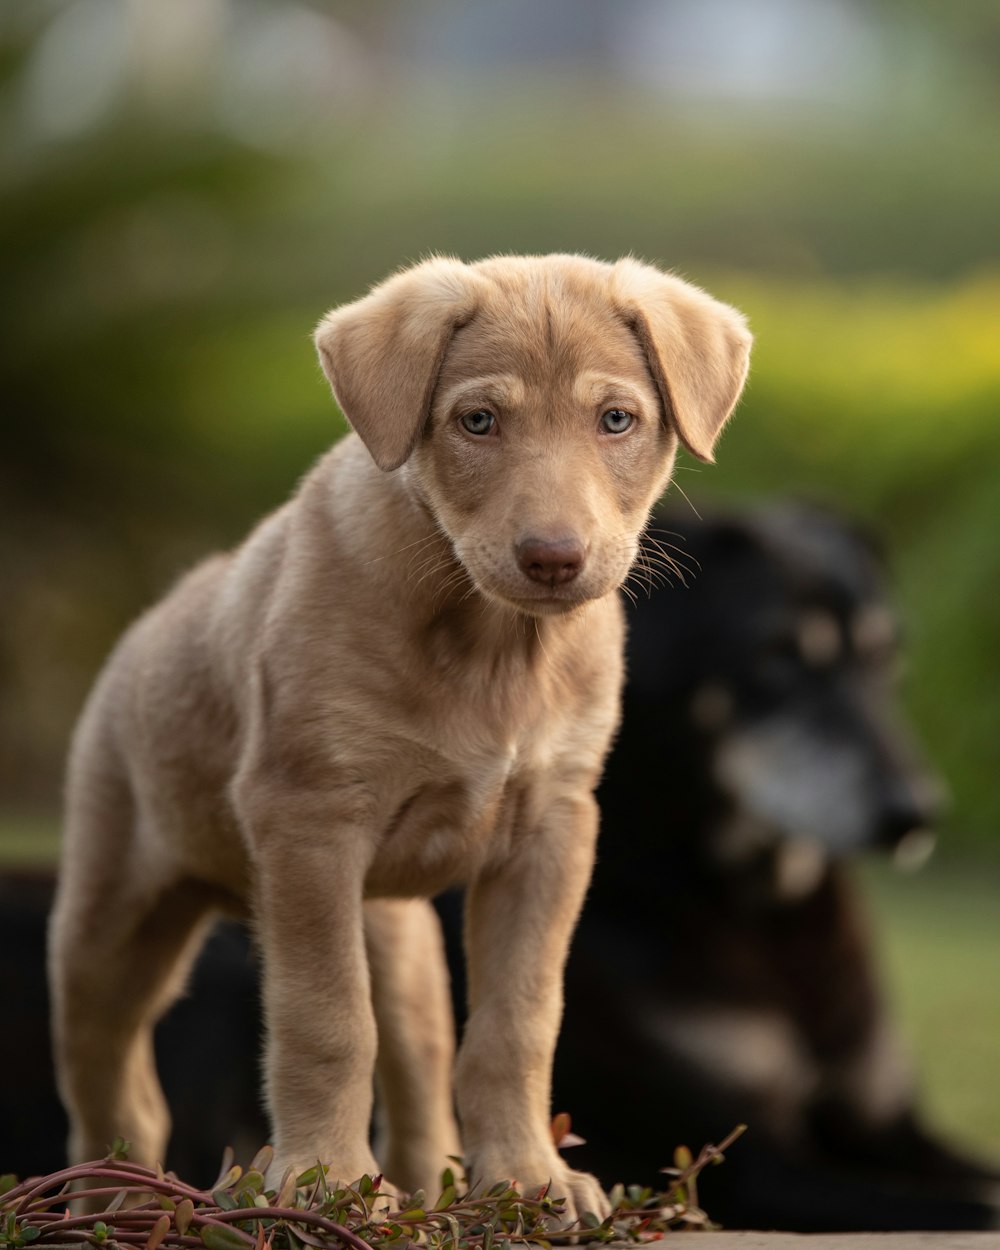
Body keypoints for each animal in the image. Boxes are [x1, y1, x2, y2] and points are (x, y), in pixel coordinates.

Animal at [48, 253, 750, 1220]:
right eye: (478, 421)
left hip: (399, 938)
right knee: (111, 1088)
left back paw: (418, 1193)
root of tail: (148, 622)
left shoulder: (554, 829)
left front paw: (529, 1176)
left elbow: (518, 1021)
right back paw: (114, 1208)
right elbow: (327, 1019)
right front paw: (323, 1179)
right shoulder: (308, 820)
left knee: (418, 1069)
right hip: (108, 923)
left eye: (617, 419)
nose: (553, 558)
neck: (491, 647)